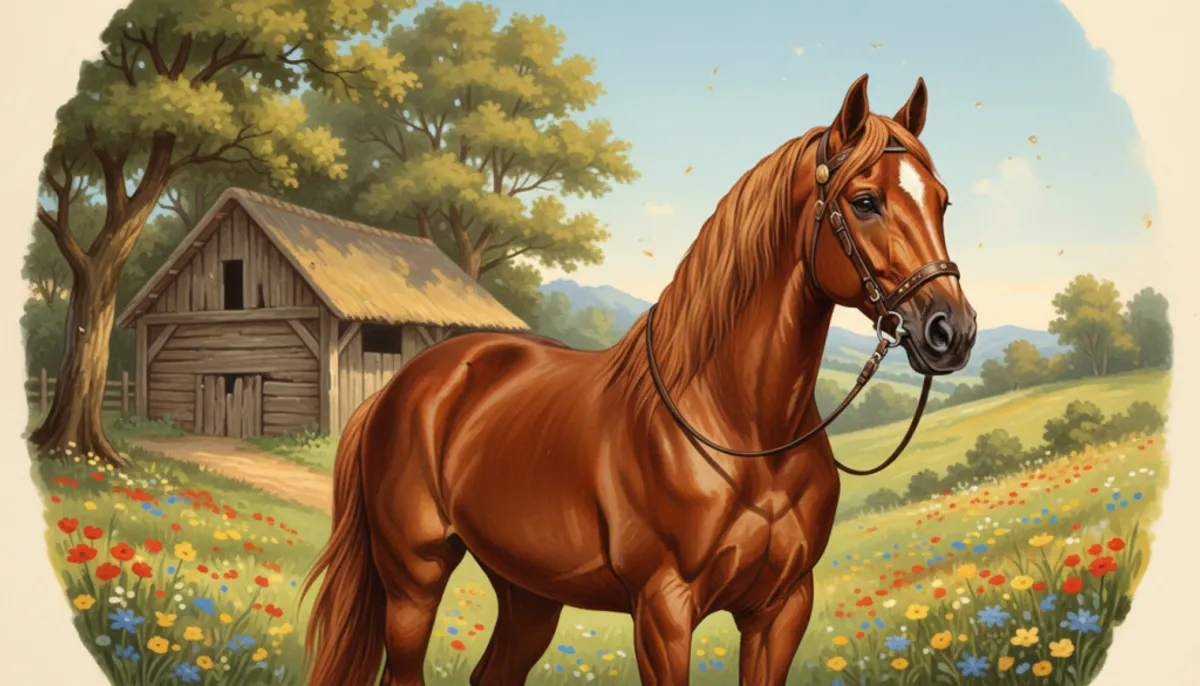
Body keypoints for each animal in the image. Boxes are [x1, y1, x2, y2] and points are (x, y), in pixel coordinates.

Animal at [302, 73, 977, 686]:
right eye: (864, 201)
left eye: (942, 201)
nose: (953, 331)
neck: (741, 429)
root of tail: (400, 388)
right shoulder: (664, 612)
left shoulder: (780, 610)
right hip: (414, 579)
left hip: (528, 591)